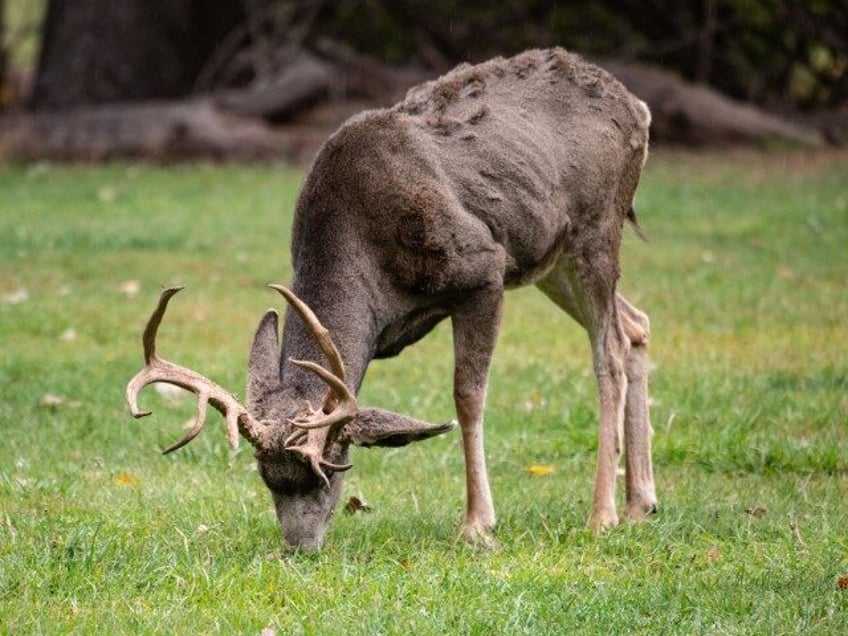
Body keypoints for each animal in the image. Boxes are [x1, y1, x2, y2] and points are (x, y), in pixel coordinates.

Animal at [124, 47, 656, 548]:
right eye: (266, 478)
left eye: (330, 466)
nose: (299, 546)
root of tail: (638, 107)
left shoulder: (484, 269)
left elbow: (468, 396)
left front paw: (477, 526)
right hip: (551, 258)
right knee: (636, 324)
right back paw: (640, 504)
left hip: (595, 228)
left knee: (608, 349)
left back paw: (602, 515)